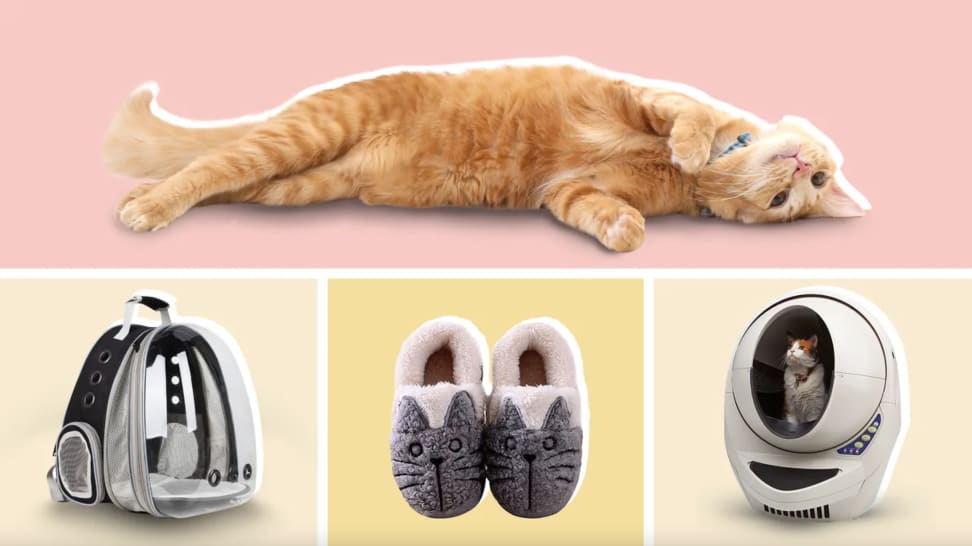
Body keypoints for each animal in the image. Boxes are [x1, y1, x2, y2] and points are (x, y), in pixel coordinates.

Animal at [106, 58, 864, 250]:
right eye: (812, 177)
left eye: (787, 201)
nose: (804, 170)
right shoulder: (641, 95)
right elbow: (690, 114)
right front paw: (689, 142)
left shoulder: (567, 192)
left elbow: (598, 209)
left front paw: (624, 230)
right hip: (305, 136)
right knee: (212, 164)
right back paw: (147, 207)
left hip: (294, 181)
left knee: (220, 176)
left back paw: (141, 197)